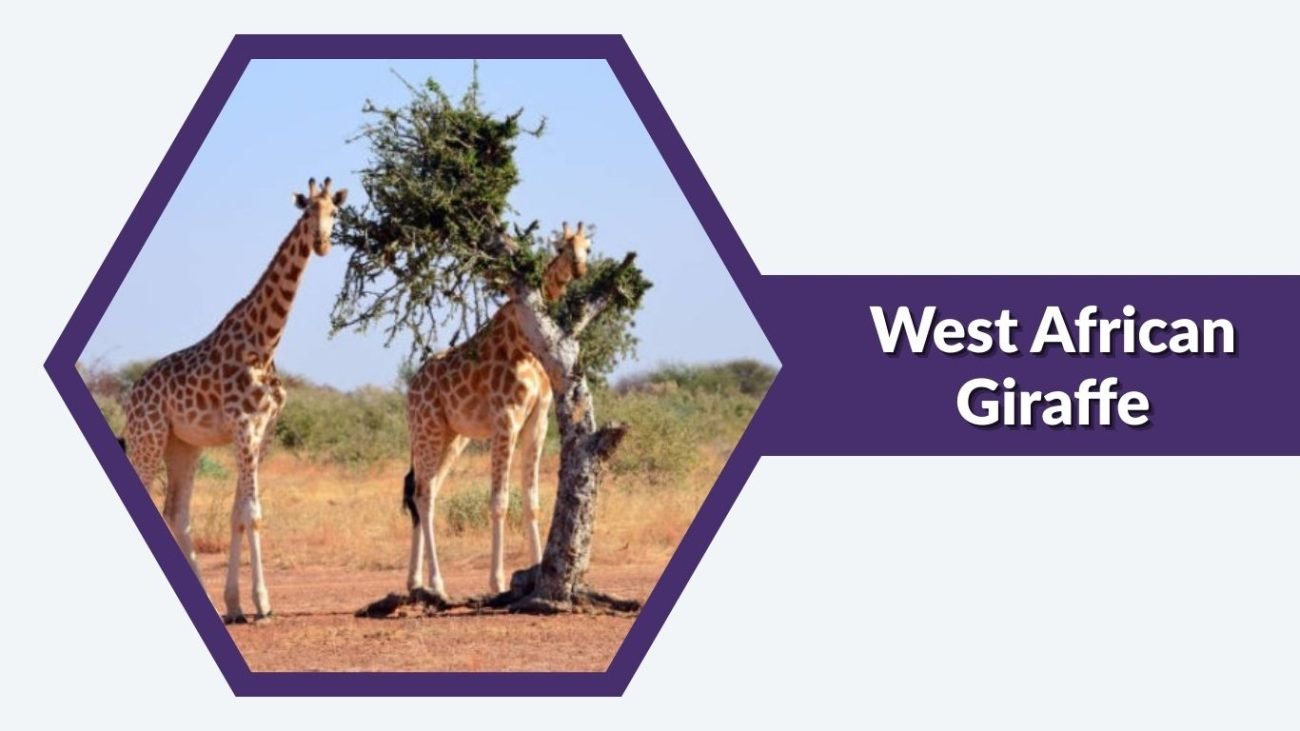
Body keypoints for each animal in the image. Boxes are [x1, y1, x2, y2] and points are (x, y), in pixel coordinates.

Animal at [123, 177, 347, 622]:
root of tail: (132, 395)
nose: (321, 243)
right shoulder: (243, 427)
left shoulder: (263, 431)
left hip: (182, 446)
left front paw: (236, 603)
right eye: (306, 213)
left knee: (177, 512)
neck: (265, 343)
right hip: (148, 437)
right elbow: (252, 514)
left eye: (335, 213)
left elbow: (240, 513)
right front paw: (261, 603)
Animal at [404, 222, 591, 597]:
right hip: (426, 429)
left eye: (588, 246)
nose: (579, 267)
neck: (525, 345)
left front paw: (537, 570)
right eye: (562, 246)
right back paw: (437, 583)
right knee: (424, 494)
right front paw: (497, 581)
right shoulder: (506, 419)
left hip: (452, 436)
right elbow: (499, 502)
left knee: (424, 491)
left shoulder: (537, 420)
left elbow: (532, 500)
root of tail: (409, 390)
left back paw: (415, 581)